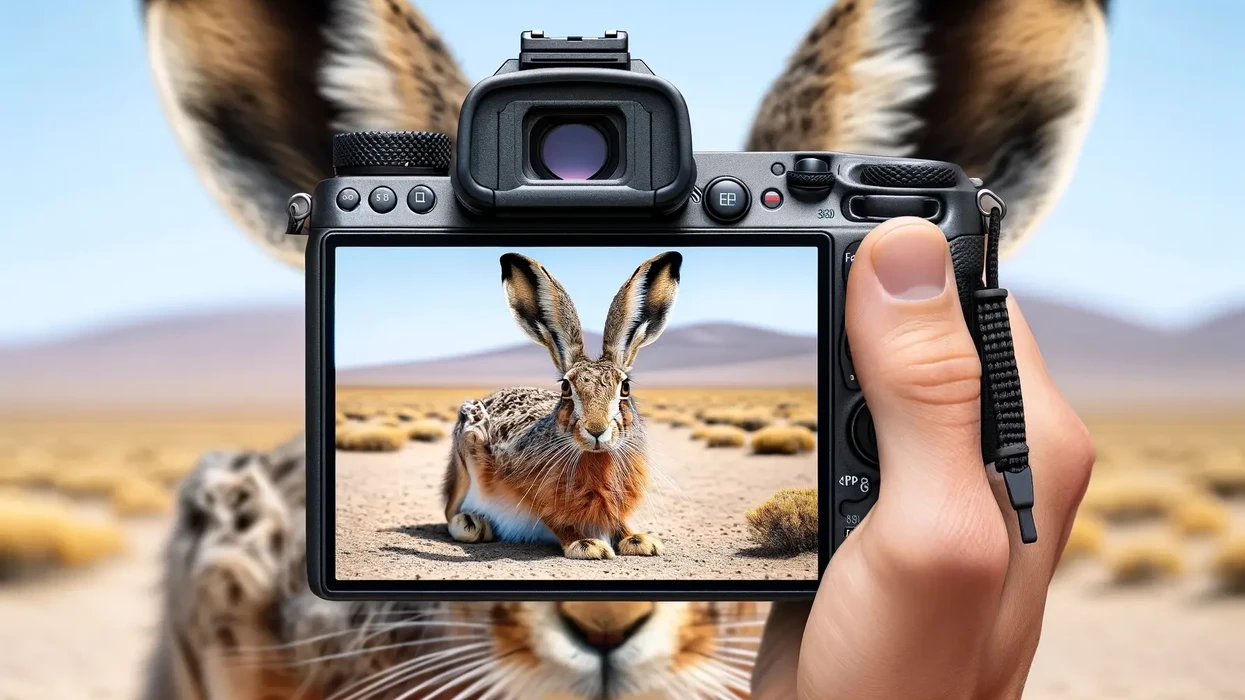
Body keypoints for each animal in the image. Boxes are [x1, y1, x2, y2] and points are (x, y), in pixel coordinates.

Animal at [442, 251, 682, 559]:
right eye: (566, 387)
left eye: (625, 387)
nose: (596, 430)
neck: (595, 458)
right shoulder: (534, 495)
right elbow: (558, 522)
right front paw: (588, 545)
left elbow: (619, 523)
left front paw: (641, 540)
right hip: (467, 449)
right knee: (451, 510)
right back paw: (473, 523)